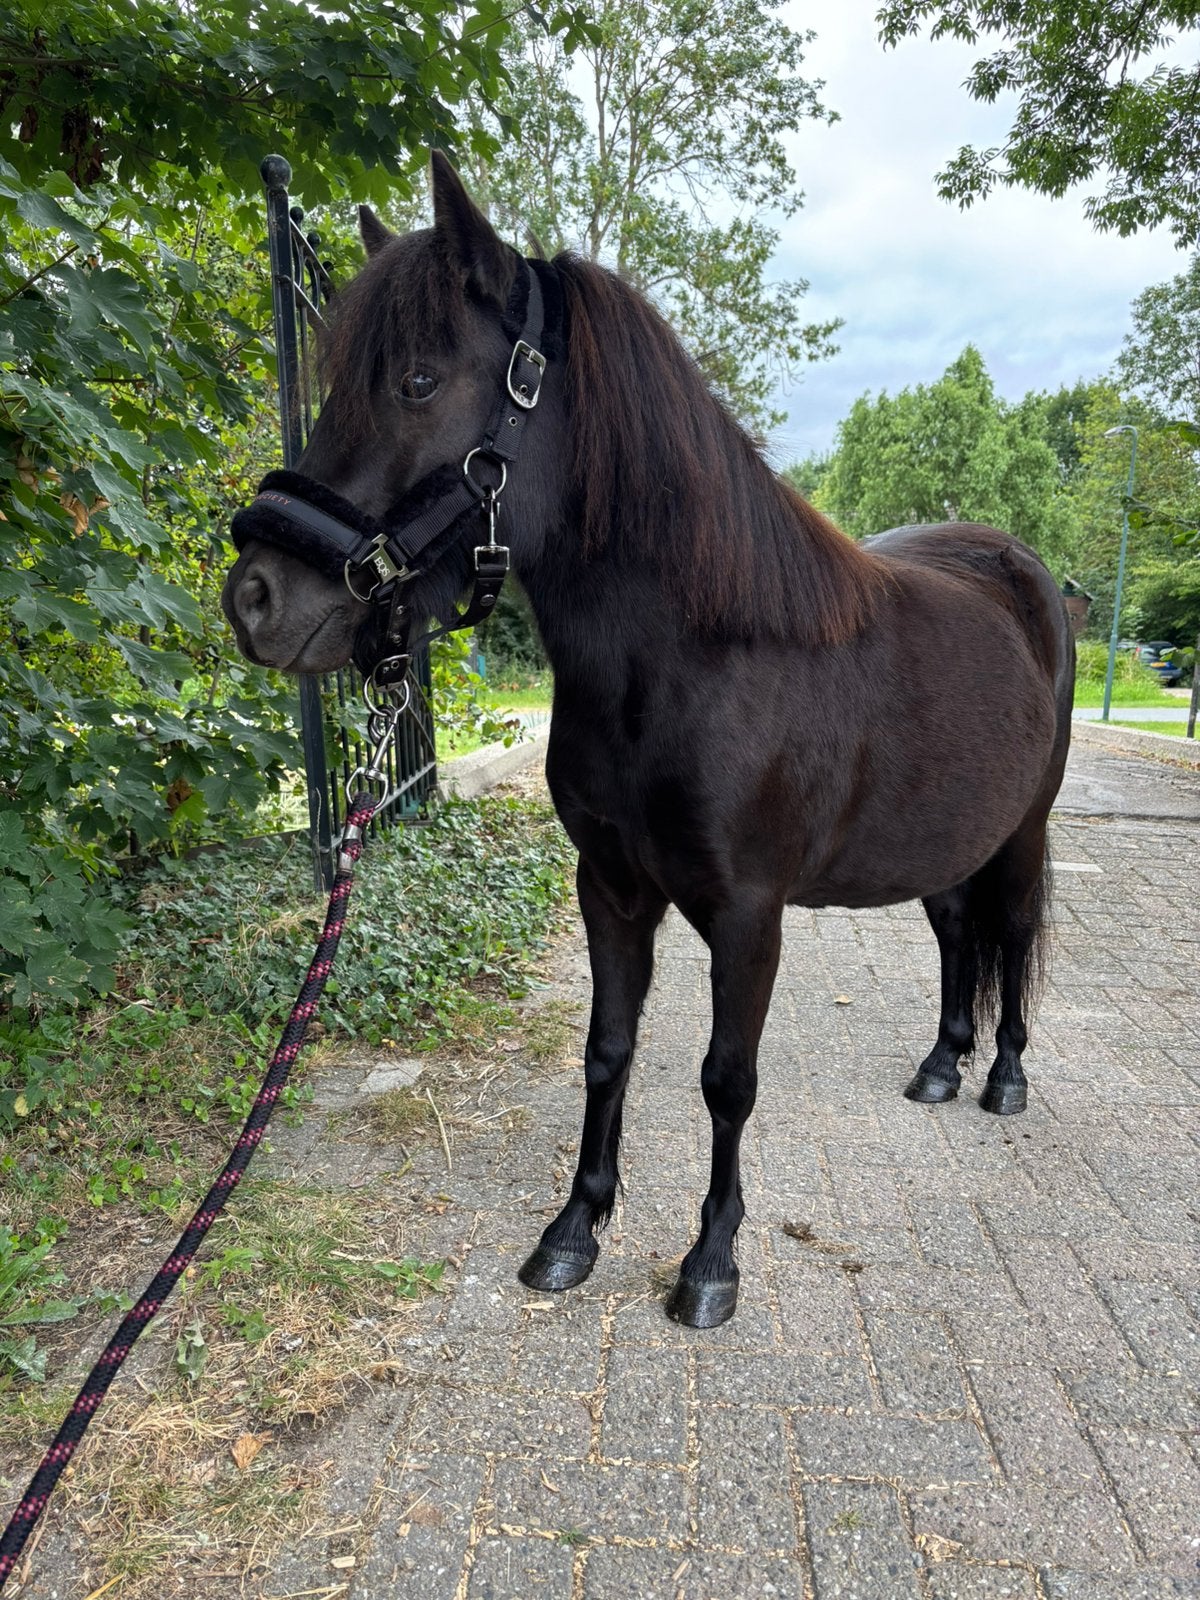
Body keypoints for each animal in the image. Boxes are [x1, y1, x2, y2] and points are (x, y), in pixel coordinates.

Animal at [221, 153, 1074, 1329]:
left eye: (420, 382)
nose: (255, 597)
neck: (691, 663)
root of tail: (1026, 575)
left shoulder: (749, 914)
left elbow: (727, 1077)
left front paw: (709, 1262)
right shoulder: (612, 888)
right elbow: (607, 1050)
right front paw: (573, 1229)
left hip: (1024, 831)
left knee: (1017, 933)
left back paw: (1004, 1077)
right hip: (944, 837)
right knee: (956, 932)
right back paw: (943, 1064)